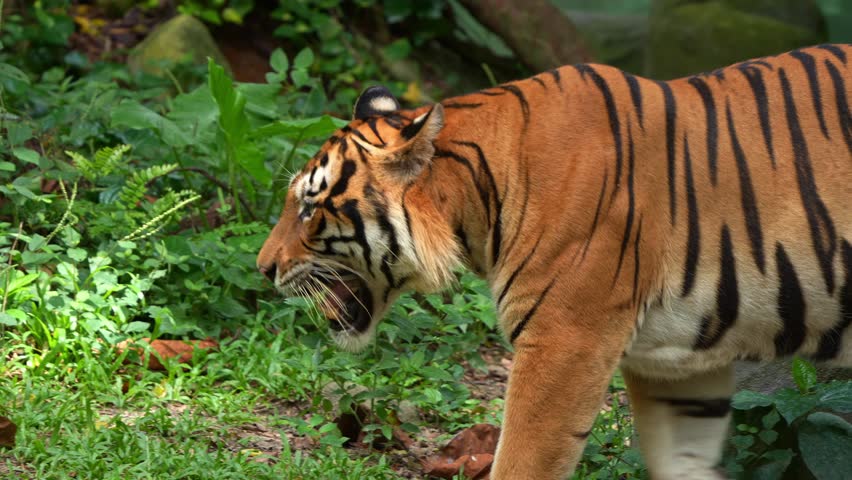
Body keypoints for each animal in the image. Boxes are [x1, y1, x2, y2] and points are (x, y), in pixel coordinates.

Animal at [256, 44, 852, 479]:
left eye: (310, 207)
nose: (264, 267)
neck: (479, 200)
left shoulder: (564, 343)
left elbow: (522, 461)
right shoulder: (676, 363)